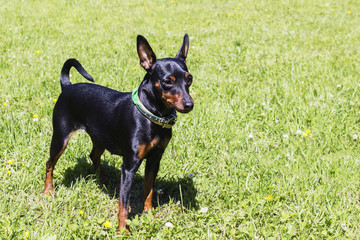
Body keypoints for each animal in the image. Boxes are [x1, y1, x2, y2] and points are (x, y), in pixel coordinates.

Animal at [44, 34, 195, 233]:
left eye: (189, 79)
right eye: (167, 82)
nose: (189, 104)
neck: (151, 116)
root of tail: (67, 86)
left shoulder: (154, 160)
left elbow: (148, 190)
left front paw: (149, 213)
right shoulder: (129, 166)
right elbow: (124, 203)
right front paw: (123, 229)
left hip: (99, 138)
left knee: (94, 156)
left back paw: (103, 179)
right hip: (61, 138)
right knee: (49, 163)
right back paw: (48, 191)